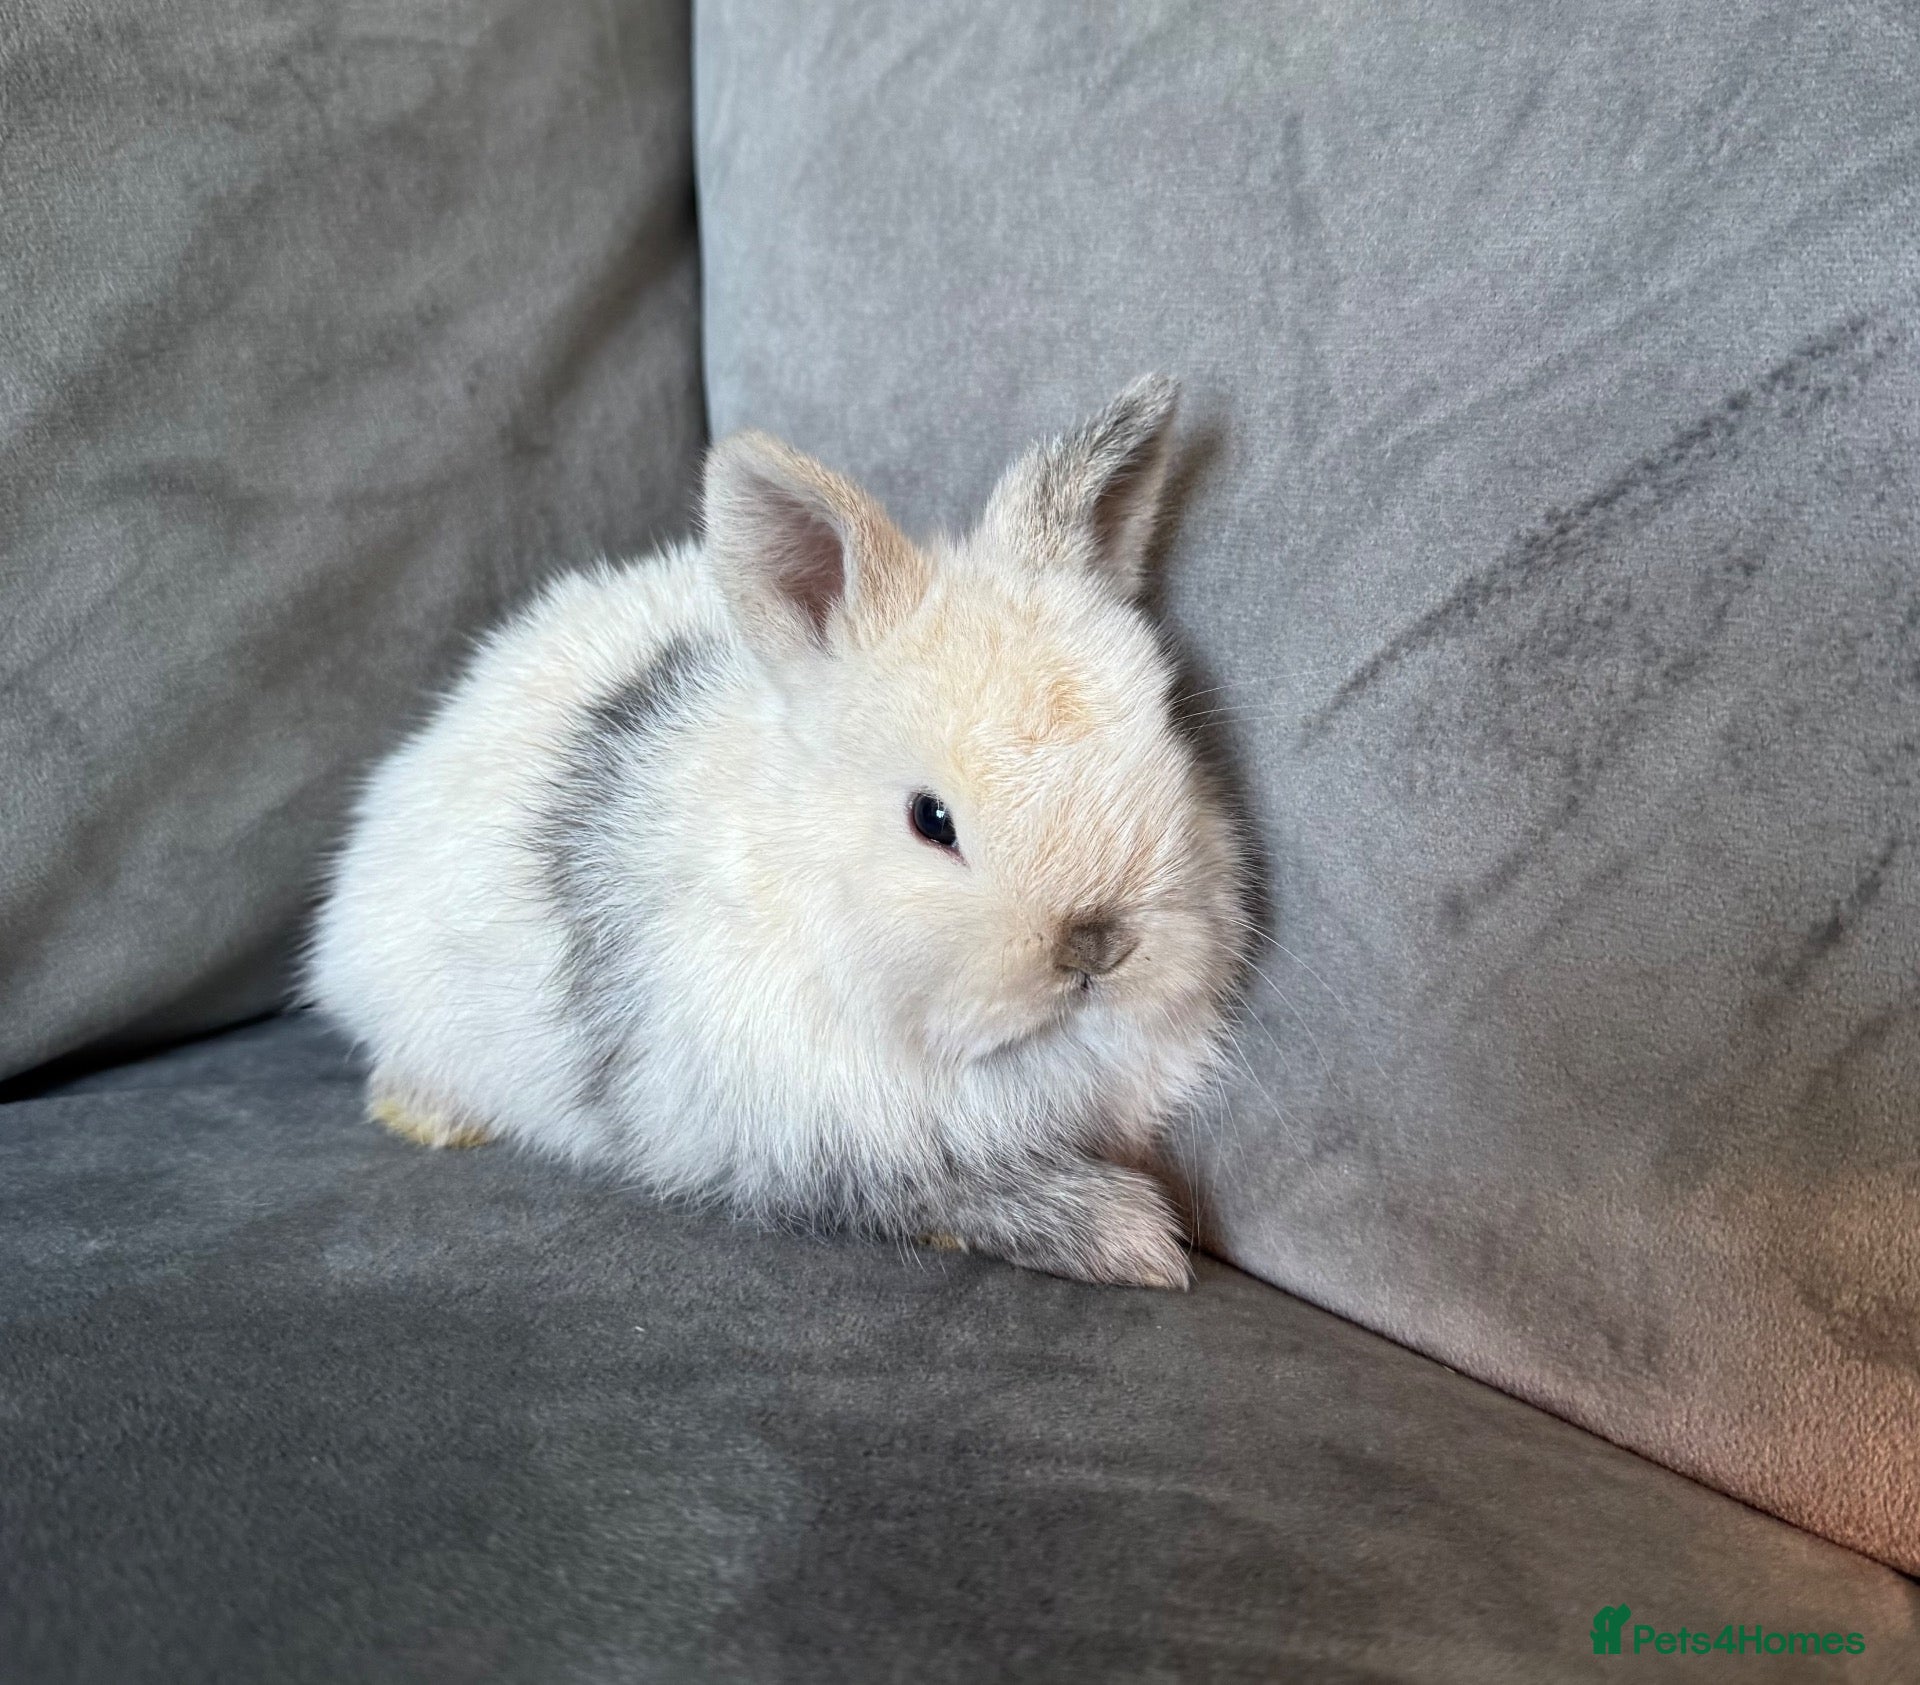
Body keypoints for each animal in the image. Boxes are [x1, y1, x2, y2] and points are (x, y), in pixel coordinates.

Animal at [305, 376, 1248, 1289]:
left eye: (1166, 743)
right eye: (931, 819)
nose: (1096, 946)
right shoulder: (805, 1141)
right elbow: (946, 1191)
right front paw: (1132, 1242)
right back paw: (430, 1116)